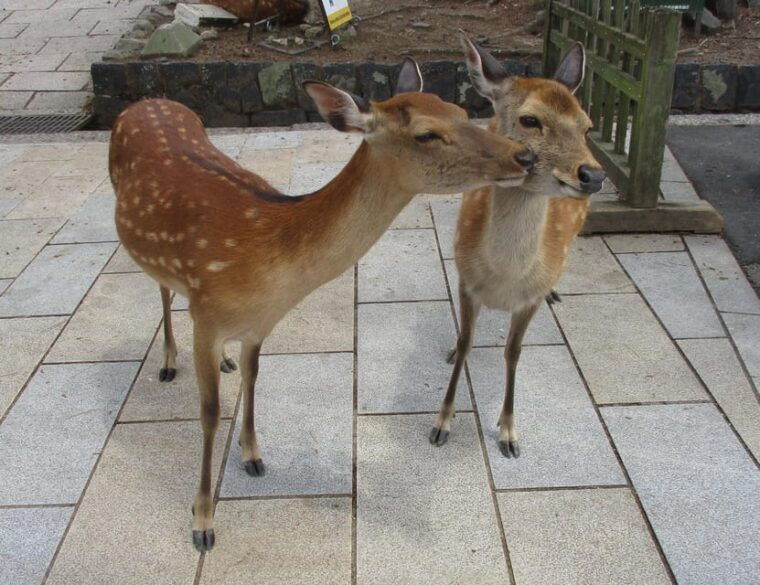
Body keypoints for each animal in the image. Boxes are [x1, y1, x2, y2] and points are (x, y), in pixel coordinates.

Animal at [109, 58, 536, 552]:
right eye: (427, 134)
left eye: (462, 110)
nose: (525, 156)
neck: (269, 269)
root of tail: (145, 100)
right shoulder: (208, 313)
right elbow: (210, 415)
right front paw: (202, 522)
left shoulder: (262, 323)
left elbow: (255, 378)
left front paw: (253, 455)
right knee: (161, 287)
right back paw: (167, 361)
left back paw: (224, 361)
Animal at [429, 36, 606, 458]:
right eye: (530, 120)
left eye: (588, 126)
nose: (593, 175)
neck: (503, 281)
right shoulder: (466, 282)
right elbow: (466, 342)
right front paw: (442, 422)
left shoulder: (529, 299)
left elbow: (513, 351)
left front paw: (509, 432)